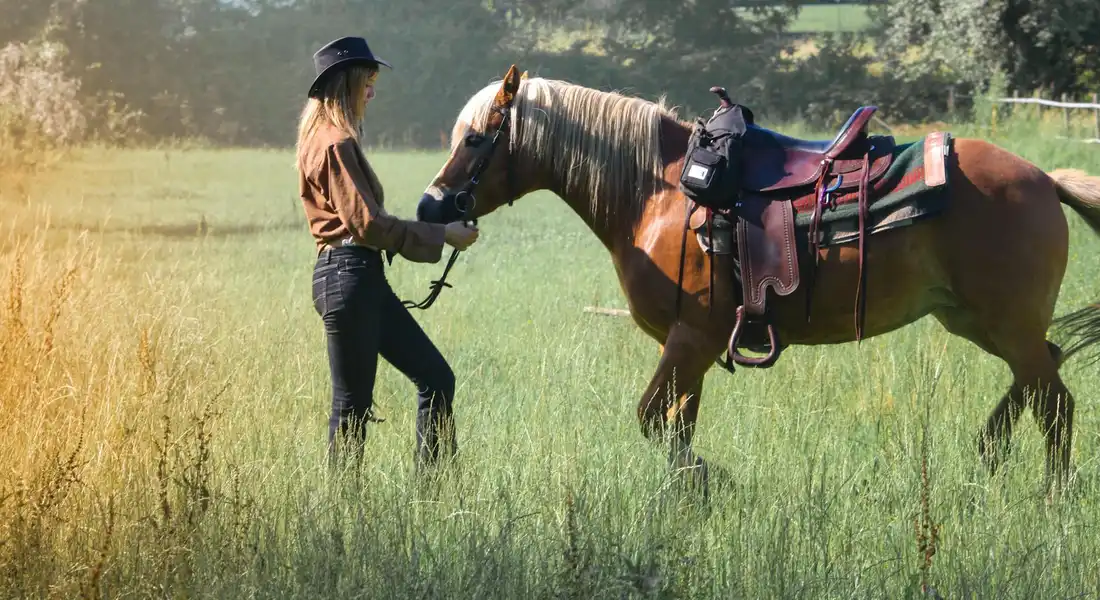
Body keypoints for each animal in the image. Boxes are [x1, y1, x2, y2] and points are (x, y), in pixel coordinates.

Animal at [415, 65, 1100, 497]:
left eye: (475, 139)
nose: (430, 205)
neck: (659, 191)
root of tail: (1043, 178)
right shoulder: (689, 347)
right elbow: (676, 425)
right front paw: (689, 497)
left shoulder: (691, 338)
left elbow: (651, 419)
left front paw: (711, 481)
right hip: (975, 319)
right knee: (1044, 372)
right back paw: (991, 447)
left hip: (1003, 324)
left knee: (1056, 401)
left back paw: (1050, 492)